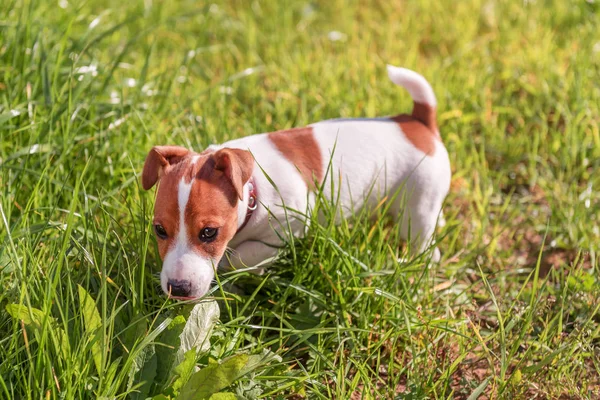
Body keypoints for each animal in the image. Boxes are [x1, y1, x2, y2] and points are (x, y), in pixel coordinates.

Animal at [141, 65, 450, 298]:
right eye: (159, 230)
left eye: (209, 233)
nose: (178, 288)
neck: (253, 192)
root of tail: (417, 122)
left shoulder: (289, 227)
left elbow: (243, 255)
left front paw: (232, 268)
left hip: (417, 210)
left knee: (426, 245)